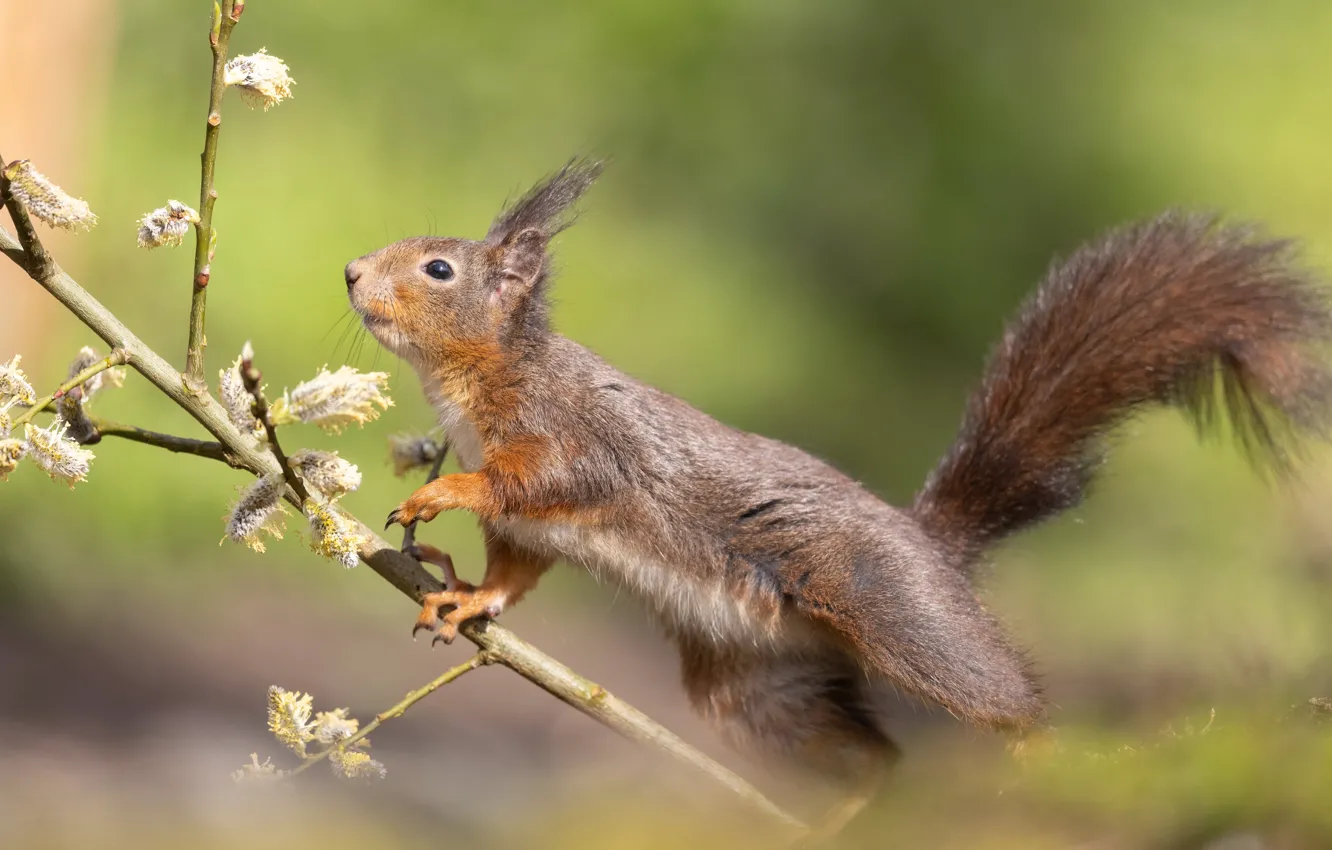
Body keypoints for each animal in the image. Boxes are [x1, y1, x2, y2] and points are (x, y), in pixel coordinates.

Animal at [346, 161, 1332, 842]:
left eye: (438, 269)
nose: (352, 270)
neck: (480, 378)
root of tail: (929, 543)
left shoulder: (580, 440)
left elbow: (544, 483)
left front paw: (442, 493)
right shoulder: (533, 529)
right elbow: (515, 568)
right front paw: (464, 596)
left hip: (890, 610)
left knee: (999, 695)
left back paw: (1041, 756)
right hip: (758, 689)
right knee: (877, 760)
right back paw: (837, 820)